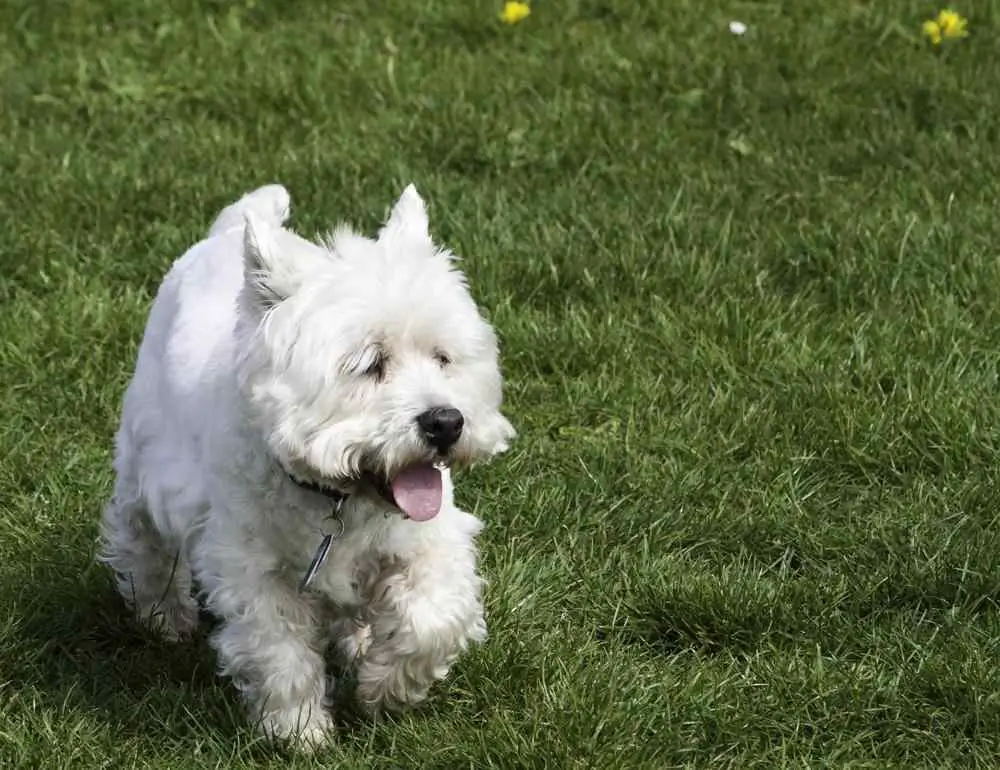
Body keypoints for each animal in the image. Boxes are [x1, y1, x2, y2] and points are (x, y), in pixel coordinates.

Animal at [97, 183, 516, 748]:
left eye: (443, 357)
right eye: (369, 363)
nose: (446, 422)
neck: (339, 498)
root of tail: (224, 234)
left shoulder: (430, 541)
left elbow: (431, 619)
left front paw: (384, 689)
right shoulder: (250, 569)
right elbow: (280, 655)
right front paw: (300, 732)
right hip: (144, 466)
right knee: (141, 538)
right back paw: (163, 615)